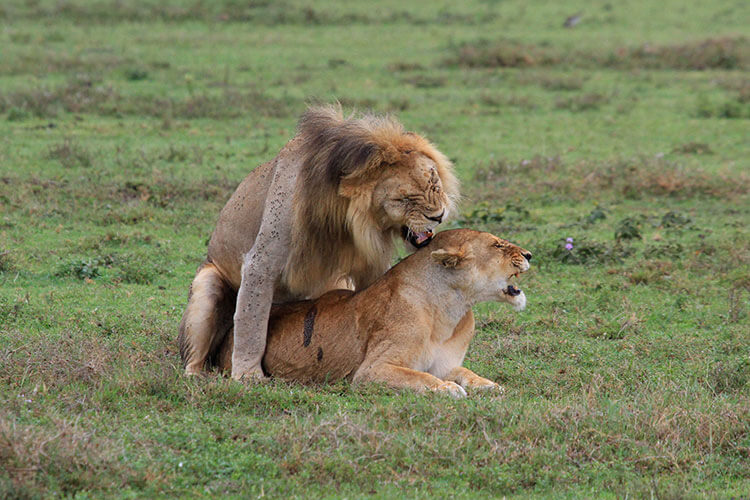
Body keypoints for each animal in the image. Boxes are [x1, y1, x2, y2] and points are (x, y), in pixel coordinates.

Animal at [178, 105, 458, 378]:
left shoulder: (369, 265)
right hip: (207, 285)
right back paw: (197, 376)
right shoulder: (260, 264)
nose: (439, 216)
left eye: (434, 182)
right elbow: (251, 325)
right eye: (404, 199)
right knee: (195, 355)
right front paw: (248, 375)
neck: (345, 219)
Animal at [210, 229, 536, 398]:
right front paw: (447, 389)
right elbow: (418, 377)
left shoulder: (446, 364)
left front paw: (490, 385)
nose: (530, 255)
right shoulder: (371, 371)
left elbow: (467, 373)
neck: (451, 307)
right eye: (497, 245)